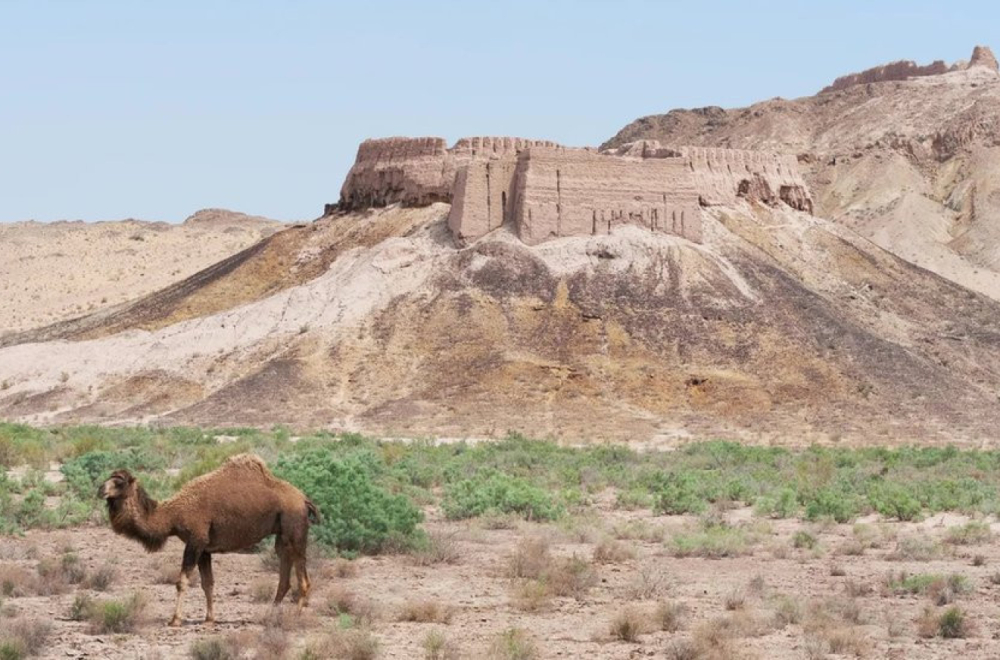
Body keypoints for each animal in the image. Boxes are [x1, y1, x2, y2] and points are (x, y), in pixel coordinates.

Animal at [98, 452, 320, 628]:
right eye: (109, 478)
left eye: (119, 482)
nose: (100, 489)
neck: (173, 515)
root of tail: (304, 499)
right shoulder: (204, 548)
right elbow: (208, 583)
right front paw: (209, 619)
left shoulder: (195, 540)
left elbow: (182, 581)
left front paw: (175, 620)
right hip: (282, 534)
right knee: (284, 569)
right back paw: (271, 614)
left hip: (295, 528)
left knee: (303, 576)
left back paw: (295, 616)